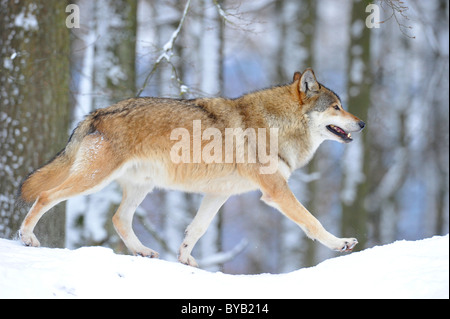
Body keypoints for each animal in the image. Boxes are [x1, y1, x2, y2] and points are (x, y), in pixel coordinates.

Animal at [16, 69, 366, 268]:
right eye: (337, 107)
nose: (362, 123)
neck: (277, 125)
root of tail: (96, 113)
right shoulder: (276, 191)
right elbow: (312, 222)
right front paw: (341, 244)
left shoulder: (219, 195)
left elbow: (195, 230)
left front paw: (185, 260)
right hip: (94, 180)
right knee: (46, 196)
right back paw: (27, 238)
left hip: (140, 186)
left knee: (118, 218)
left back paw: (143, 252)